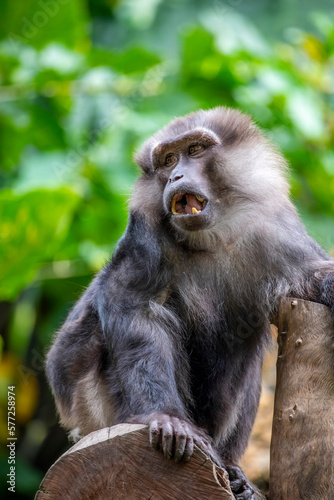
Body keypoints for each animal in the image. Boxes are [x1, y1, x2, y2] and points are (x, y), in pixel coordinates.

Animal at [46, 107, 334, 498]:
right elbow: (134, 309)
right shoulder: (145, 234)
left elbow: (311, 276)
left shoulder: (275, 228)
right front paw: (165, 418)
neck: (212, 237)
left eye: (195, 149)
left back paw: (234, 473)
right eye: (168, 160)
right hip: (95, 406)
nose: (176, 175)